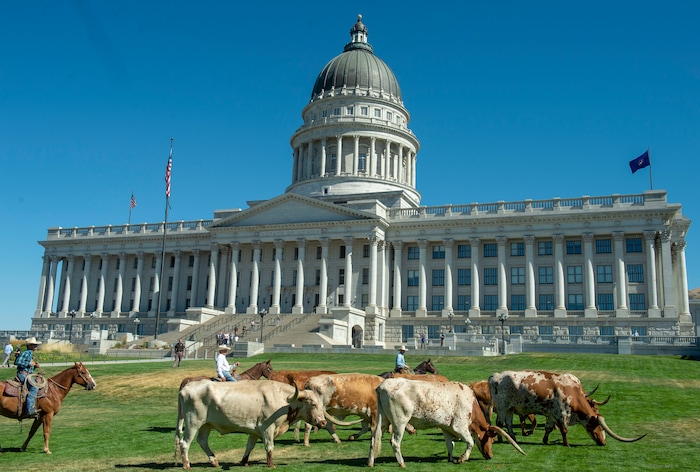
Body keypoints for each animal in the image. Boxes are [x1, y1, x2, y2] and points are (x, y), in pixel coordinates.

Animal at [174, 379, 359, 469]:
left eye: (321, 406)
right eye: (312, 404)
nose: (322, 422)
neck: (282, 400)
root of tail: (186, 387)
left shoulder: (254, 431)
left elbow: (249, 447)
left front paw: (244, 462)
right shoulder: (267, 429)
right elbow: (269, 447)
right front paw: (271, 464)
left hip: (206, 425)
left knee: (202, 441)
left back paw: (214, 461)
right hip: (193, 422)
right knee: (185, 443)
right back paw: (187, 465)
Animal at [368, 378, 526, 467]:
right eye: (492, 440)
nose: (491, 456)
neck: (470, 403)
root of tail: (383, 385)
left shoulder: (446, 428)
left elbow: (450, 444)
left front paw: (450, 458)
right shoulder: (460, 426)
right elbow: (470, 442)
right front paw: (462, 459)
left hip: (383, 420)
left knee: (374, 438)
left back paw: (370, 463)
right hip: (399, 422)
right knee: (395, 442)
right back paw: (402, 463)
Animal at [489, 370, 646, 447]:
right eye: (597, 426)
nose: (603, 442)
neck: (572, 391)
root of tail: (495, 376)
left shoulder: (551, 414)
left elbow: (548, 428)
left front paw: (545, 440)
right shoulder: (562, 413)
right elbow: (564, 430)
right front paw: (567, 444)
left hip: (510, 408)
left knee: (508, 423)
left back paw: (513, 438)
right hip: (502, 407)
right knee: (499, 423)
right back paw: (502, 439)